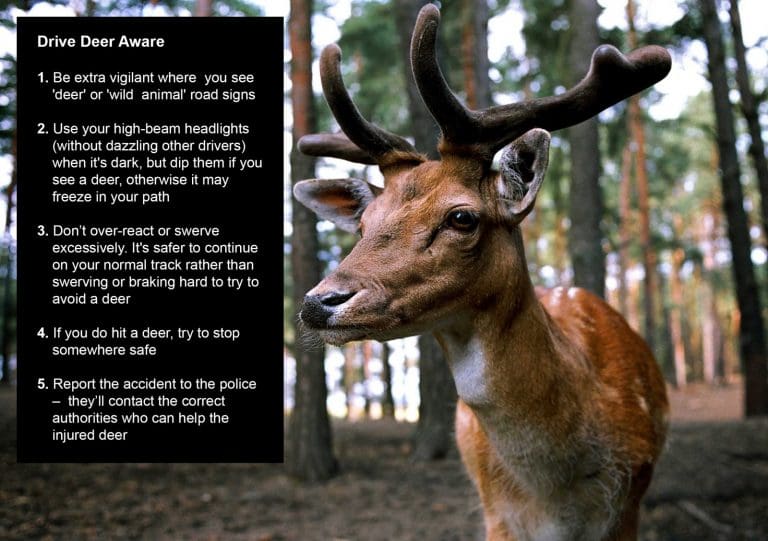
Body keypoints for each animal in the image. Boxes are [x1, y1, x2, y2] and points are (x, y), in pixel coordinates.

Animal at [293, 4, 670, 540]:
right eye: (363, 224)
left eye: (462, 217)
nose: (318, 302)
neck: (555, 498)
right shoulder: (497, 516)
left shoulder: (630, 502)